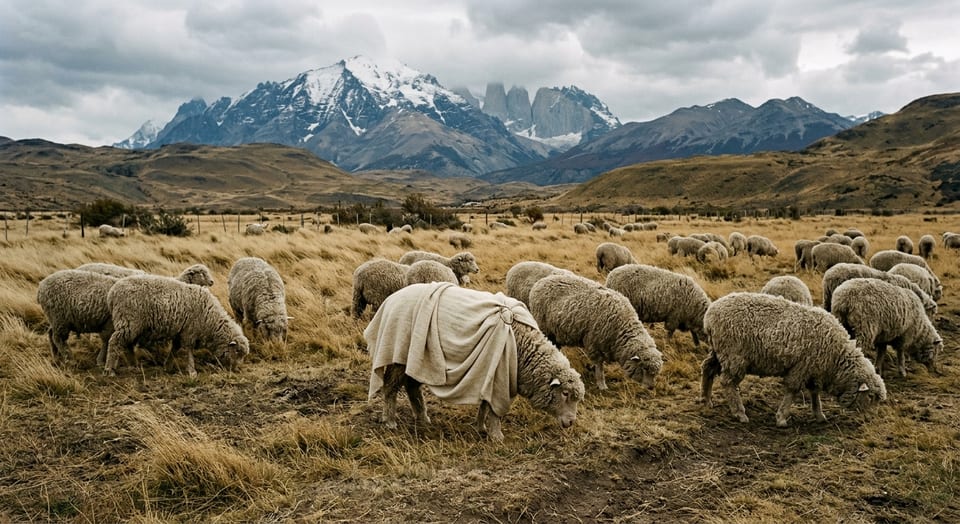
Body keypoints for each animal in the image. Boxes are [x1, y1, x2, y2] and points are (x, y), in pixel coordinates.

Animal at [104, 275, 249, 377]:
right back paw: (110, 369)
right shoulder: (189, 332)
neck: (210, 319)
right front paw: (191, 371)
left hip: (133, 326)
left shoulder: (180, 333)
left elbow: (174, 351)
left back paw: (134, 366)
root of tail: (112, 293)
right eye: (237, 351)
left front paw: (167, 367)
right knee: (114, 342)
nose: (237, 369)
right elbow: (188, 352)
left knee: (127, 344)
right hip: (128, 321)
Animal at [366, 282, 584, 442]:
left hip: (417, 357)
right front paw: (497, 436)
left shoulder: (491, 371)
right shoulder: (501, 375)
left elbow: (485, 404)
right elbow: (495, 410)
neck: (523, 350)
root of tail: (391, 299)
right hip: (399, 354)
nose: (571, 422)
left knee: (411, 387)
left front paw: (481, 427)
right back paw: (390, 420)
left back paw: (423, 418)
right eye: (565, 393)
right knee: (390, 387)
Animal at [529, 274, 663, 390]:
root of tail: (541, 282)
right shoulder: (595, 344)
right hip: (544, 327)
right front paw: (602, 385)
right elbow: (599, 366)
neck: (622, 324)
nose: (651, 388)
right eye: (644, 368)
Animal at [700, 292, 886, 427]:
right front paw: (782, 418)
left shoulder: (814, 370)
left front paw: (819, 415)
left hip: (719, 351)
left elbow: (815, 393)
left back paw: (706, 400)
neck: (837, 358)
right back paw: (739, 413)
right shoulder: (802, 367)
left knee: (707, 368)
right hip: (734, 355)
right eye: (870, 397)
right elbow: (792, 391)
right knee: (728, 383)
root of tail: (709, 315)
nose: (869, 421)